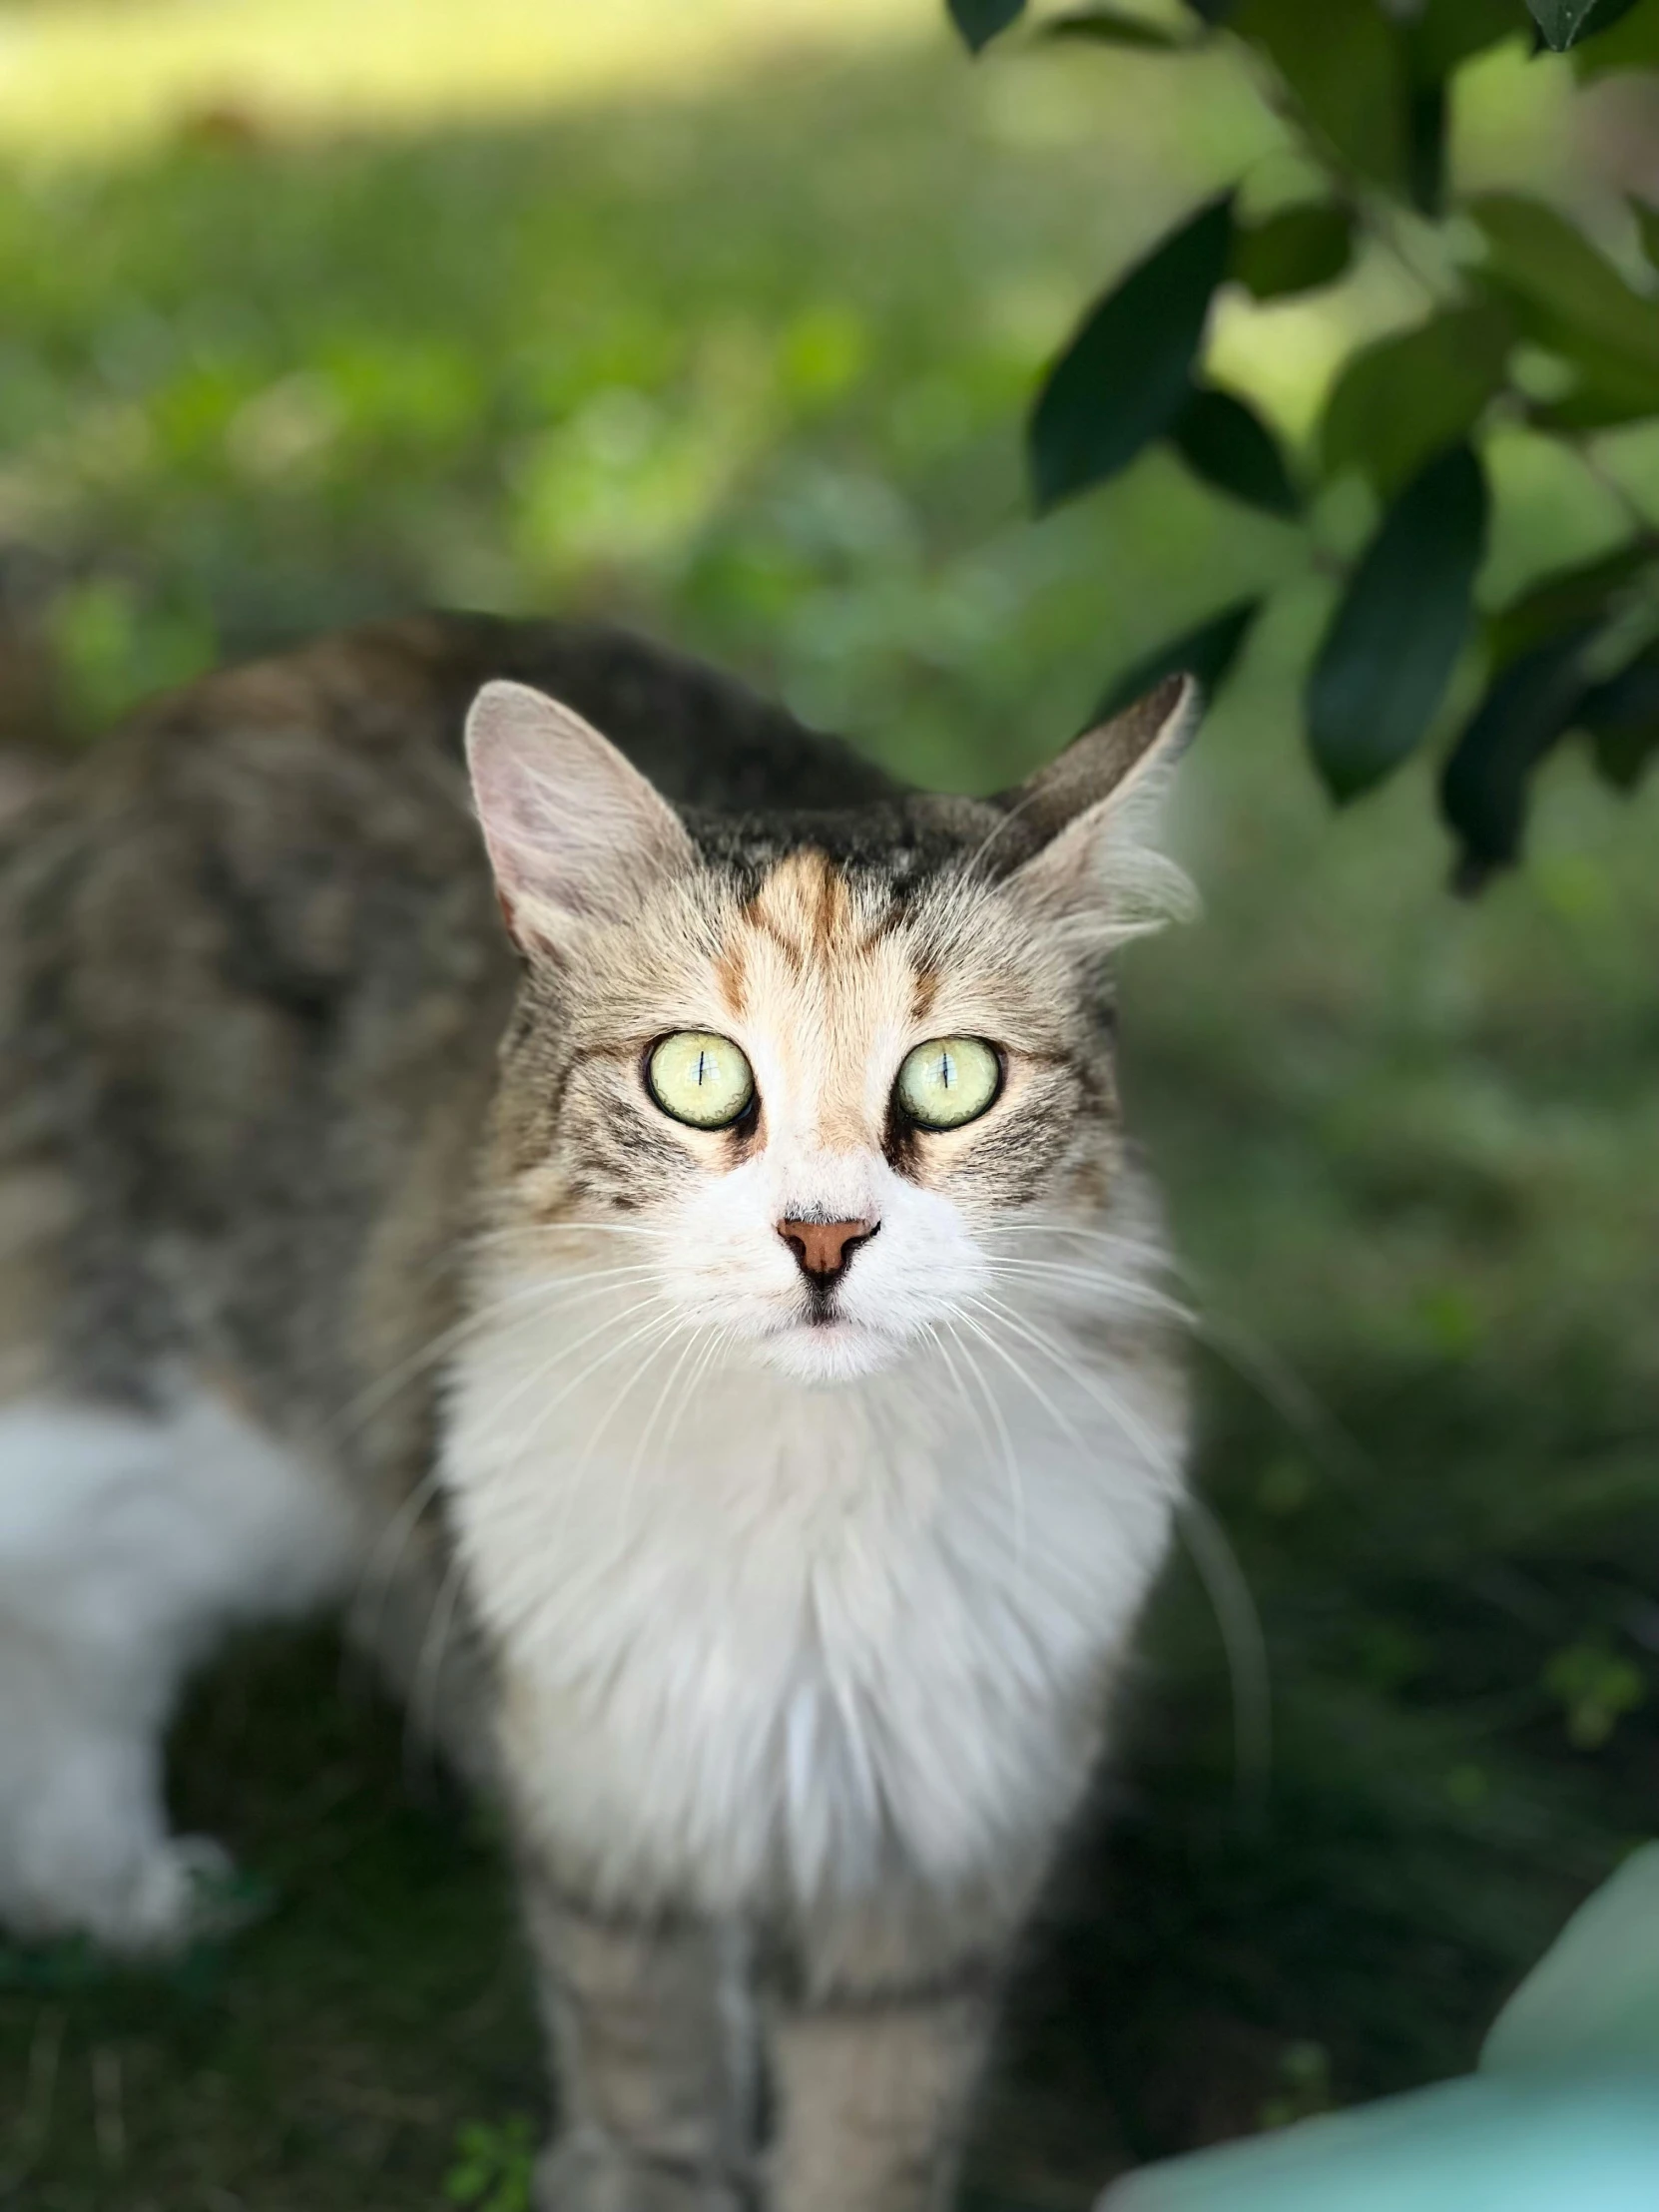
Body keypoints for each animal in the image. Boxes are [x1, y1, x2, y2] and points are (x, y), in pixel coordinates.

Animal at [0, 615, 1203, 2212]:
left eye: (951, 1080)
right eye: (697, 1075)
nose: (825, 1238)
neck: (807, 1506)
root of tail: (130, 751)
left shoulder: (926, 1857)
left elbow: (863, 2139)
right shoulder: (616, 1824)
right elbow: (652, 2094)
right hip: (188, 1434)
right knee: (74, 1623)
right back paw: (123, 1890)